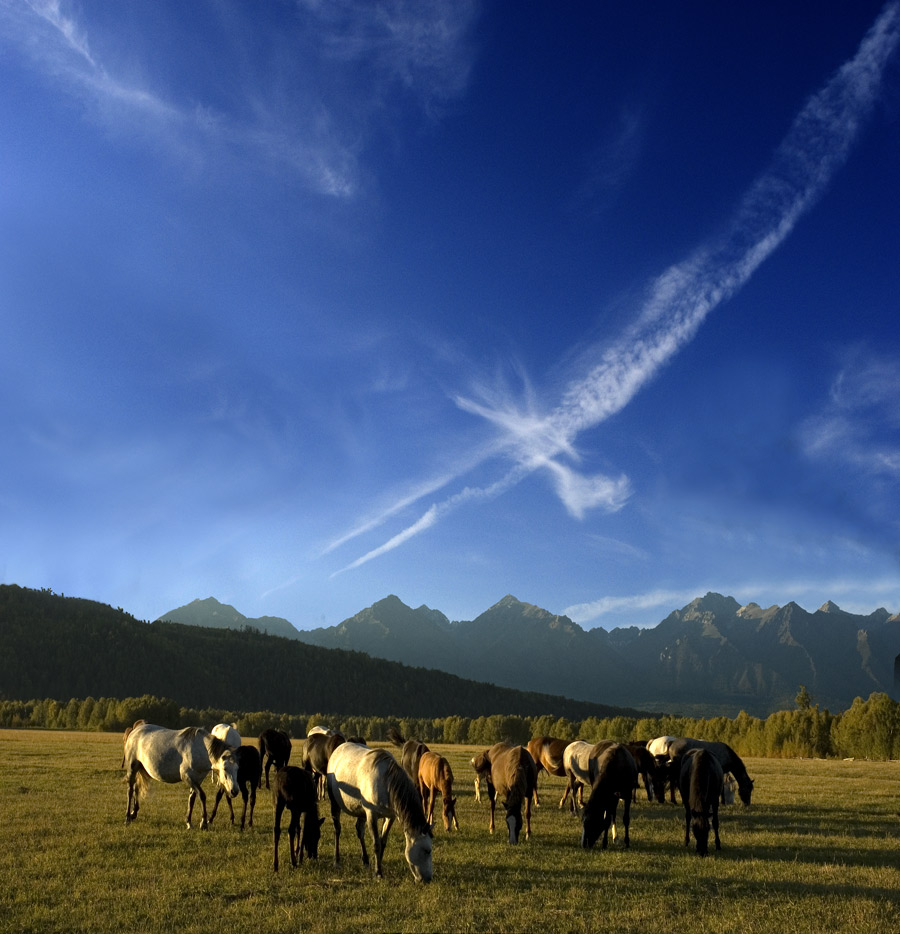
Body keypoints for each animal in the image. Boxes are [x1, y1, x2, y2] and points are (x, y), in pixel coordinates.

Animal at [328, 740, 434, 884]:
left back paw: (366, 861)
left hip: (361, 812)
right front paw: (378, 872)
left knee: (359, 831)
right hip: (334, 803)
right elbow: (376, 844)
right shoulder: (371, 815)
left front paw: (377, 865)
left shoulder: (390, 817)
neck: (386, 783)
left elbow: (383, 842)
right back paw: (337, 860)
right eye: (427, 850)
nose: (428, 879)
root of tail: (338, 749)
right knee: (337, 830)